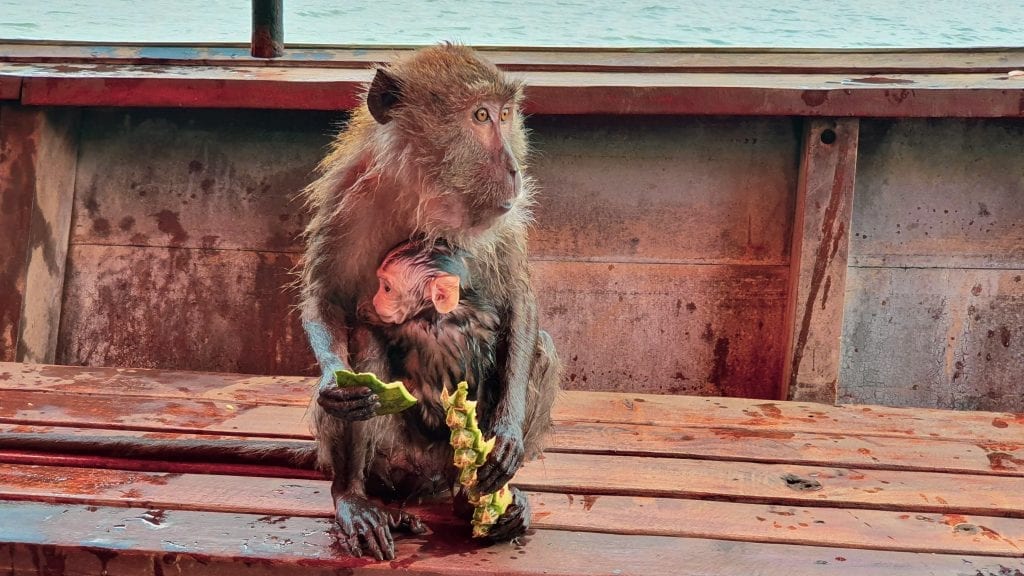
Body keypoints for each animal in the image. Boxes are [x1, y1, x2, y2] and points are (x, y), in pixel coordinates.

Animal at [299, 45, 561, 561]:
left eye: (504, 114)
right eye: (479, 116)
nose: (513, 170)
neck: (429, 193)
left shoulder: (503, 219)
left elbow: (519, 300)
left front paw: (507, 434)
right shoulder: (347, 197)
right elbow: (326, 301)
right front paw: (333, 383)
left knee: (539, 344)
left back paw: (486, 504)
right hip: (395, 459)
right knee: (363, 343)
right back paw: (353, 497)